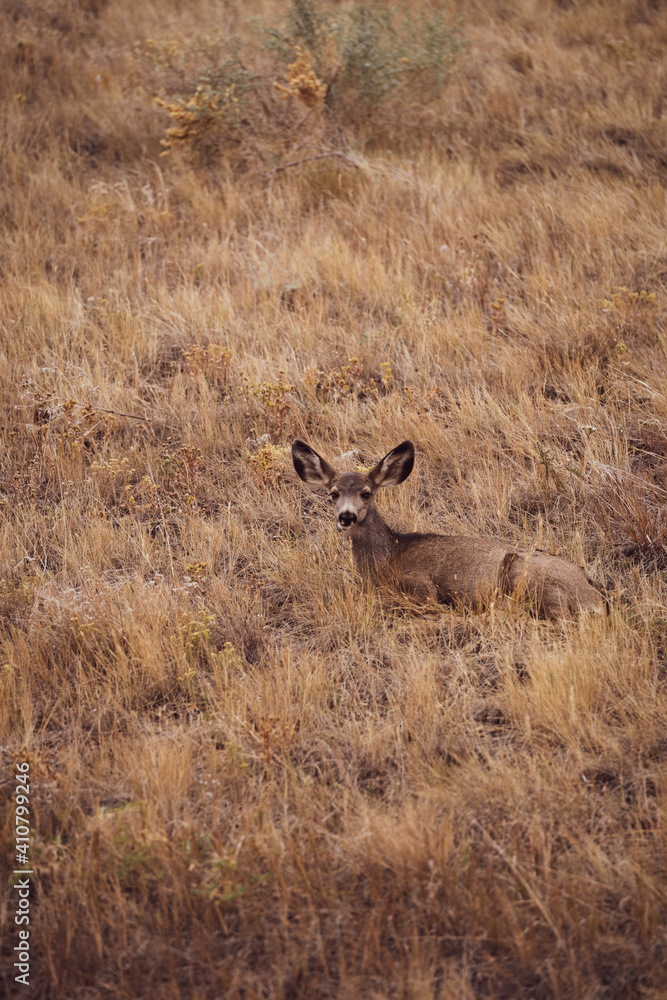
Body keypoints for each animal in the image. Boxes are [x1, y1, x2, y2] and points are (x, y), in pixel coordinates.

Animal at [291, 439, 604, 618]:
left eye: (366, 493)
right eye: (332, 494)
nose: (346, 516)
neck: (389, 558)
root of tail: (593, 597)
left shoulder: (421, 584)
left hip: (527, 575)